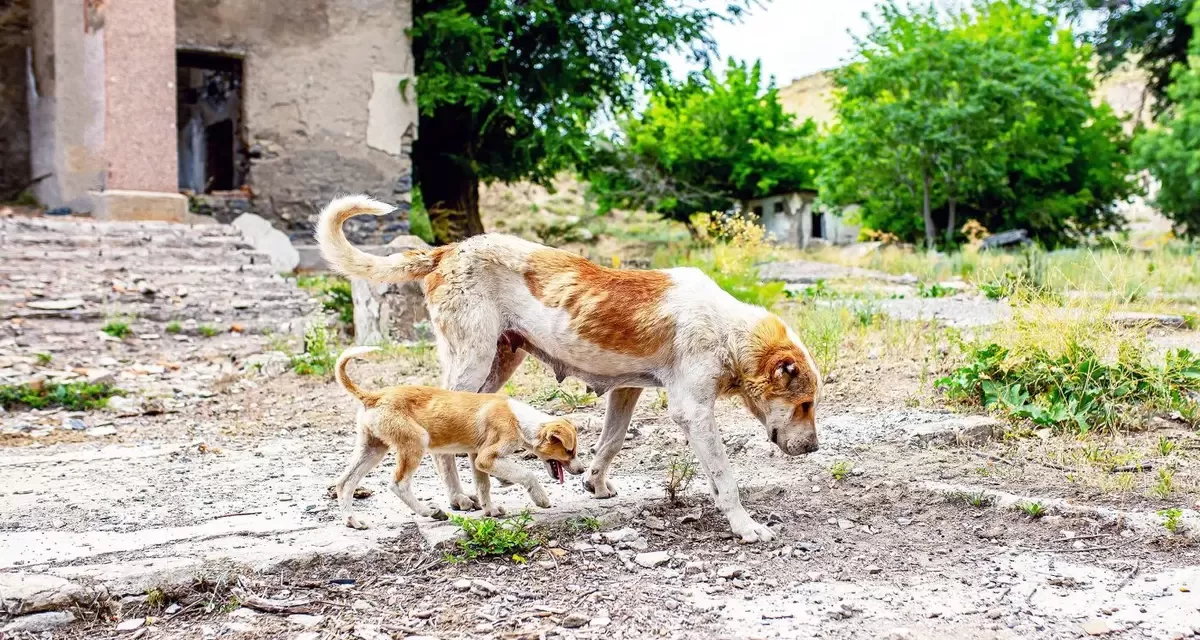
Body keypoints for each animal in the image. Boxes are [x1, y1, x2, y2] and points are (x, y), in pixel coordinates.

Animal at [333, 345, 585, 525]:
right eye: (569, 451)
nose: (582, 471)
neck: (519, 419)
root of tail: (374, 396)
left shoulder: (477, 458)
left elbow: (484, 487)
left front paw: (490, 511)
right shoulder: (487, 457)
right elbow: (527, 474)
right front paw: (541, 498)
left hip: (372, 449)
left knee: (344, 483)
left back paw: (352, 521)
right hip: (416, 442)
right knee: (398, 484)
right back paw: (429, 511)